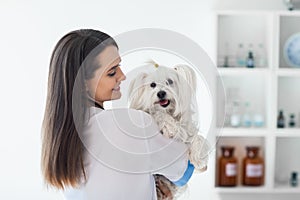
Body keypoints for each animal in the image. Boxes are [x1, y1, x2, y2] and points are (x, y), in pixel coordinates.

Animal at [127, 63, 210, 199]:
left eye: (170, 81)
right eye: (153, 85)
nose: (161, 93)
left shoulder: (188, 130)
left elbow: (197, 138)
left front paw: (199, 159)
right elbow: (159, 115)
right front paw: (171, 128)